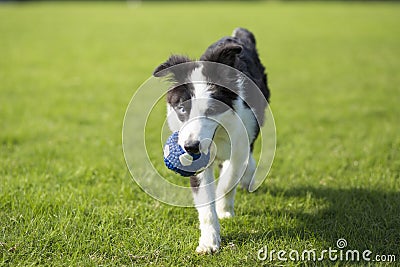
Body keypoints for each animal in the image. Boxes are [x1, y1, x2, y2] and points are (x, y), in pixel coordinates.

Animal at [153, 28, 268, 254]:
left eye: (212, 109)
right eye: (182, 109)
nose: (190, 147)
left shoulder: (241, 141)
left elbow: (228, 180)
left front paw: (223, 204)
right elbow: (205, 200)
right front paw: (209, 241)